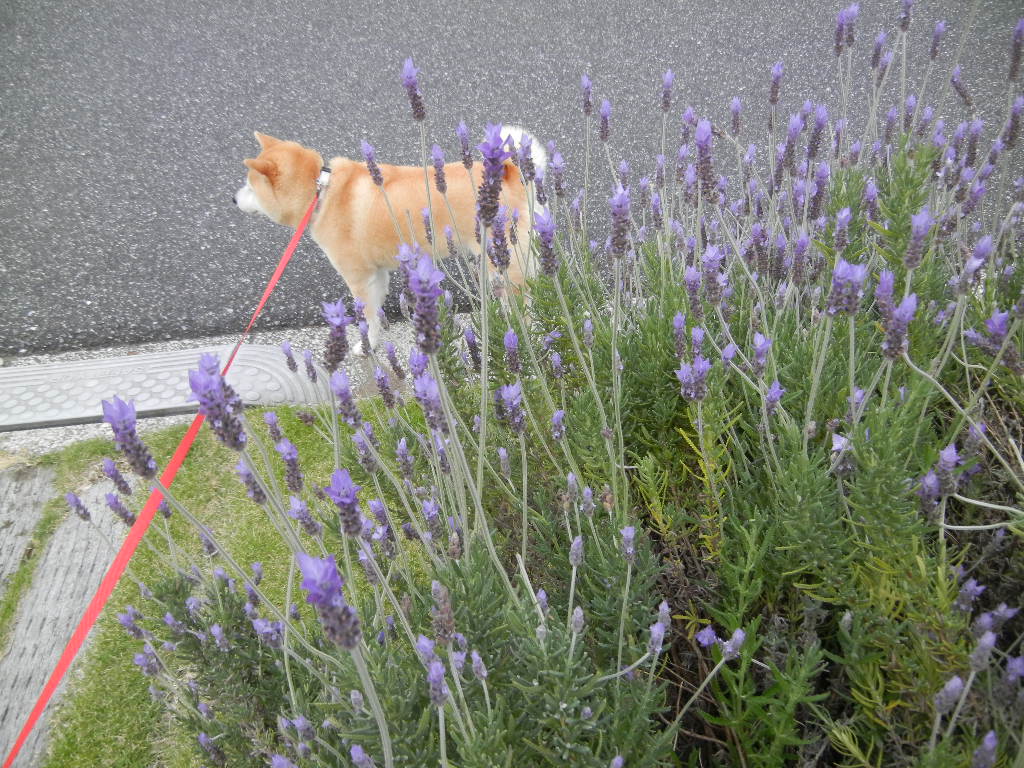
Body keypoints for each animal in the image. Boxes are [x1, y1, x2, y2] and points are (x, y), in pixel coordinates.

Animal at [235, 126, 548, 352]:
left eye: (249, 187)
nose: (234, 199)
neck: (320, 192)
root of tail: (510, 173)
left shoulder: (359, 279)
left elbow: (367, 318)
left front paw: (366, 346)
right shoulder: (377, 274)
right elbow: (377, 312)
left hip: (503, 261)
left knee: (524, 302)